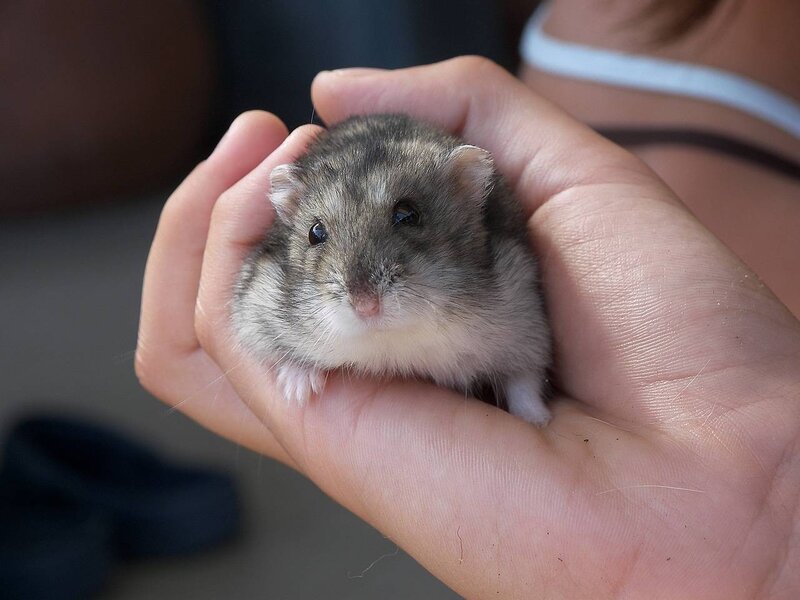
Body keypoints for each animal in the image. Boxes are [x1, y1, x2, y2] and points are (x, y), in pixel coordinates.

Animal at [233, 114, 552, 425]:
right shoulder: (255, 304)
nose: (366, 306)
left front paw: (537, 421)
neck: (392, 337)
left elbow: (524, 380)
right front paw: (298, 391)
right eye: (315, 232)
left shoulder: (525, 316)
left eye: (408, 214)